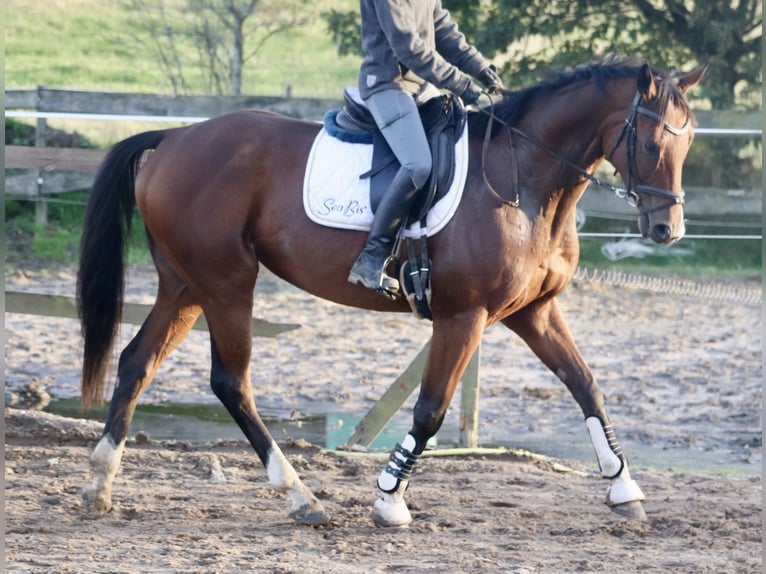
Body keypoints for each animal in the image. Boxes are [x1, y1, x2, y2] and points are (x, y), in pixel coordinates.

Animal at [78, 56, 708, 528]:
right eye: (652, 143)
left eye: (690, 143)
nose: (667, 230)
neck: (524, 179)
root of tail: (176, 137)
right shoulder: (464, 316)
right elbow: (430, 410)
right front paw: (388, 500)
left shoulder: (534, 311)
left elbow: (586, 386)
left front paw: (624, 489)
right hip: (228, 284)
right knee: (231, 383)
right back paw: (300, 496)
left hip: (186, 286)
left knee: (137, 361)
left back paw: (100, 484)